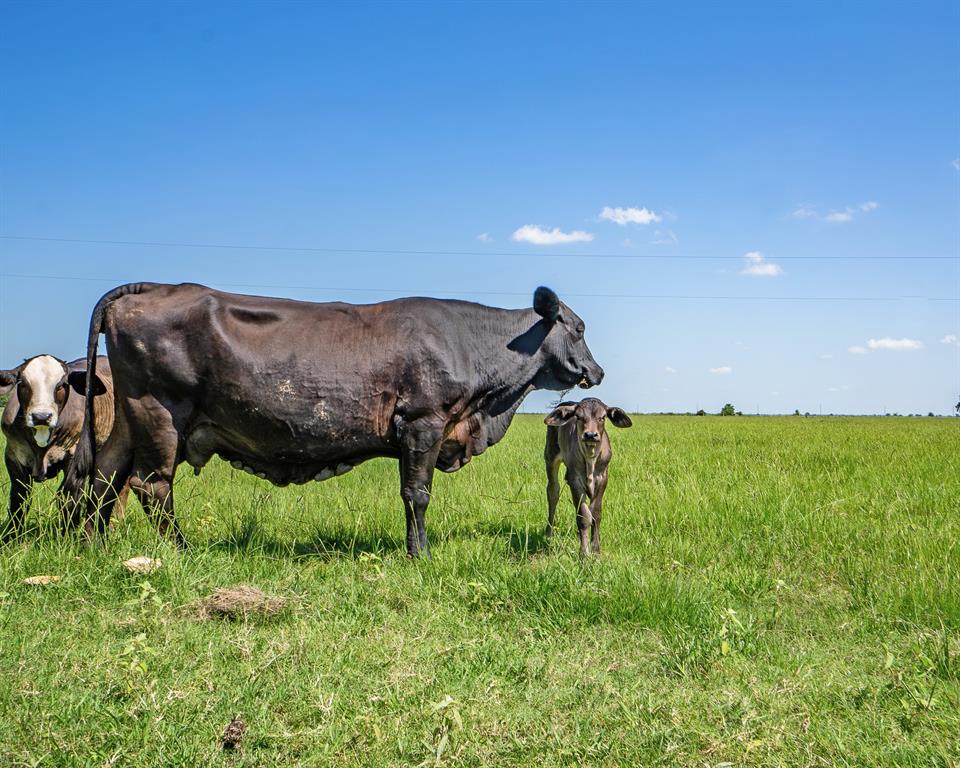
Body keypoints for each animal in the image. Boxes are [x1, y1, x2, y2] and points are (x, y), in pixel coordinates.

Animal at [67, 284, 604, 556]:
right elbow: (418, 494)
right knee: (150, 484)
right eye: (579, 329)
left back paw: (91, 546)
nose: (597, 371)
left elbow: (408, 494)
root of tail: (153, 288)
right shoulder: (423, 423)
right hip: (161, 413)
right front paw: (422, 555)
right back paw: (181, 551)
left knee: (104, 475)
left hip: (131, 419)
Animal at [544, 400, 632, 556]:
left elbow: (596, 514)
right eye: (578, 417)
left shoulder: (603, 479)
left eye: (602, 417)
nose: (590, 434)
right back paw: (549, 533)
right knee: (553, 492)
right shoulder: (575, 480)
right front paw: (584, 553)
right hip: (550, 456)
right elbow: (584, 516)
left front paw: (596, 550)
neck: (591, 457)